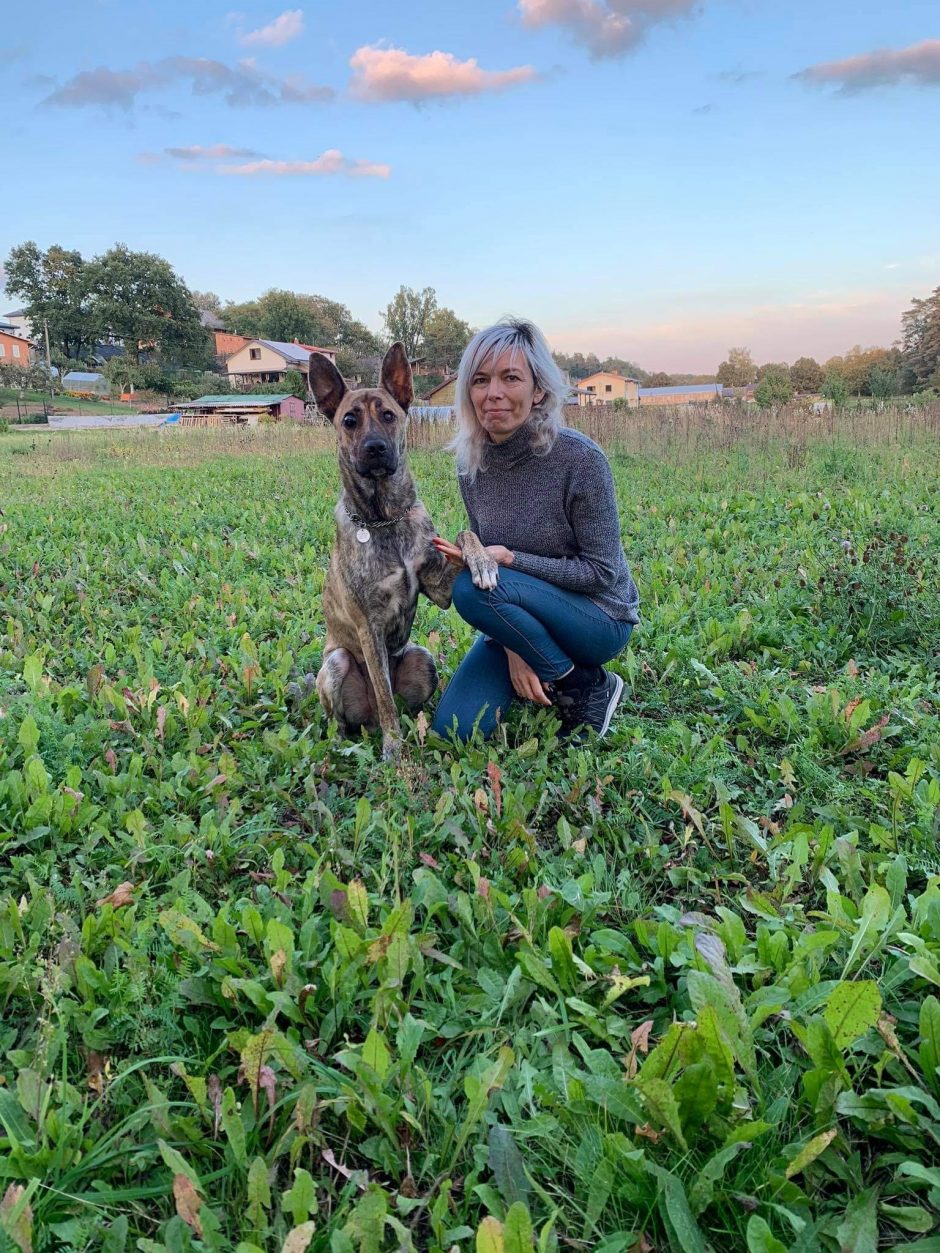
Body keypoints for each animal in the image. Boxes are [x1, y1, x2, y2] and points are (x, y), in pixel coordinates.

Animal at [309, 338, 501, 756]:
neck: (385, 519)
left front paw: (482, 561)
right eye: (349, 421)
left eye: (388, 415)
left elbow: (464, 533)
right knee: (345, 719)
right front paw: (393, 747)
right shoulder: (369, 628)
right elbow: (384, 698)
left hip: (421, 658)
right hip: (337, 664)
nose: (376, 448)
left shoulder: (441, 587)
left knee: (410, 702)